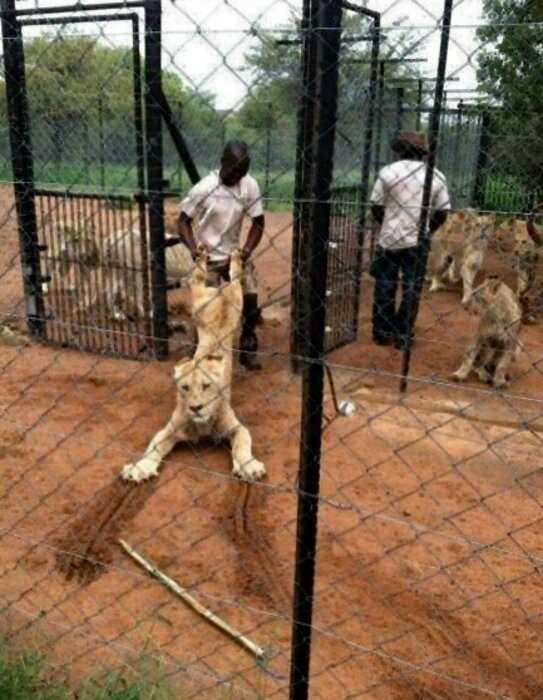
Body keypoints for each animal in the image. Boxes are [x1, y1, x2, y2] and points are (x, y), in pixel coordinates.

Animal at [123, 249, 268, 484]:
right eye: (185, 388)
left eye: (207, 386)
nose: (196, 408)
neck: (202, 424)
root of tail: (220, 291)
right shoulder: (170, 429)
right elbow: (153, 448)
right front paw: (140, 468)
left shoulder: (237, 427)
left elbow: (242, 444)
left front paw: (249, 467)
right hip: (199, 305)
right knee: (198, 279)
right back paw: (201, 256)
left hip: (236, 301)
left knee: (235, 278)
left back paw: (235, 259)